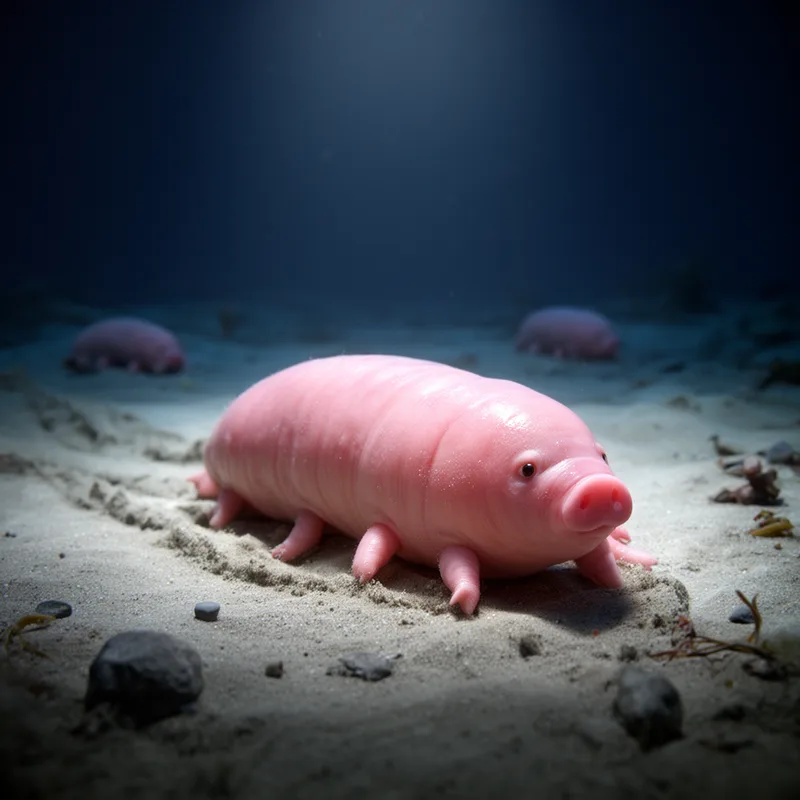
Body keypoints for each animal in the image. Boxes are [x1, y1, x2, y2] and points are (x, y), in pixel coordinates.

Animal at [189, 354, 656, 614]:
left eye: (602, 455)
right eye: (527, 469)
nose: (603, 489)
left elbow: (598, 556)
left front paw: (627, 557)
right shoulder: (447, 537)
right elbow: (457, 571)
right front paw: (461, 600)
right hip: (244, 488)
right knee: (275, 514)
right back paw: (254, 538)